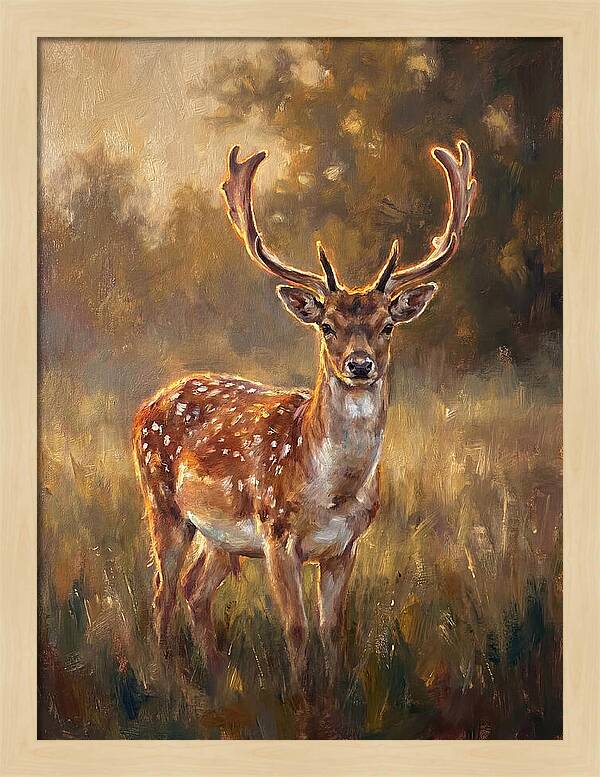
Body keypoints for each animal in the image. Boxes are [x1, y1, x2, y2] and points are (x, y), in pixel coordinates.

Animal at [132, 139, 476, 690]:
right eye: (327, 325)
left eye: (386, 325)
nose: (359, 364)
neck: (332, 494)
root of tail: (148, 404)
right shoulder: (277, 535)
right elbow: (295, 629)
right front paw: (300, 697)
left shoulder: (345, 547)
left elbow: (331, 629)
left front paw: (332, 694)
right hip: (163, 504)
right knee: (163, 591)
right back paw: (169, 677)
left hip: (220, 538)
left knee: (193, 589)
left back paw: (217, 676)